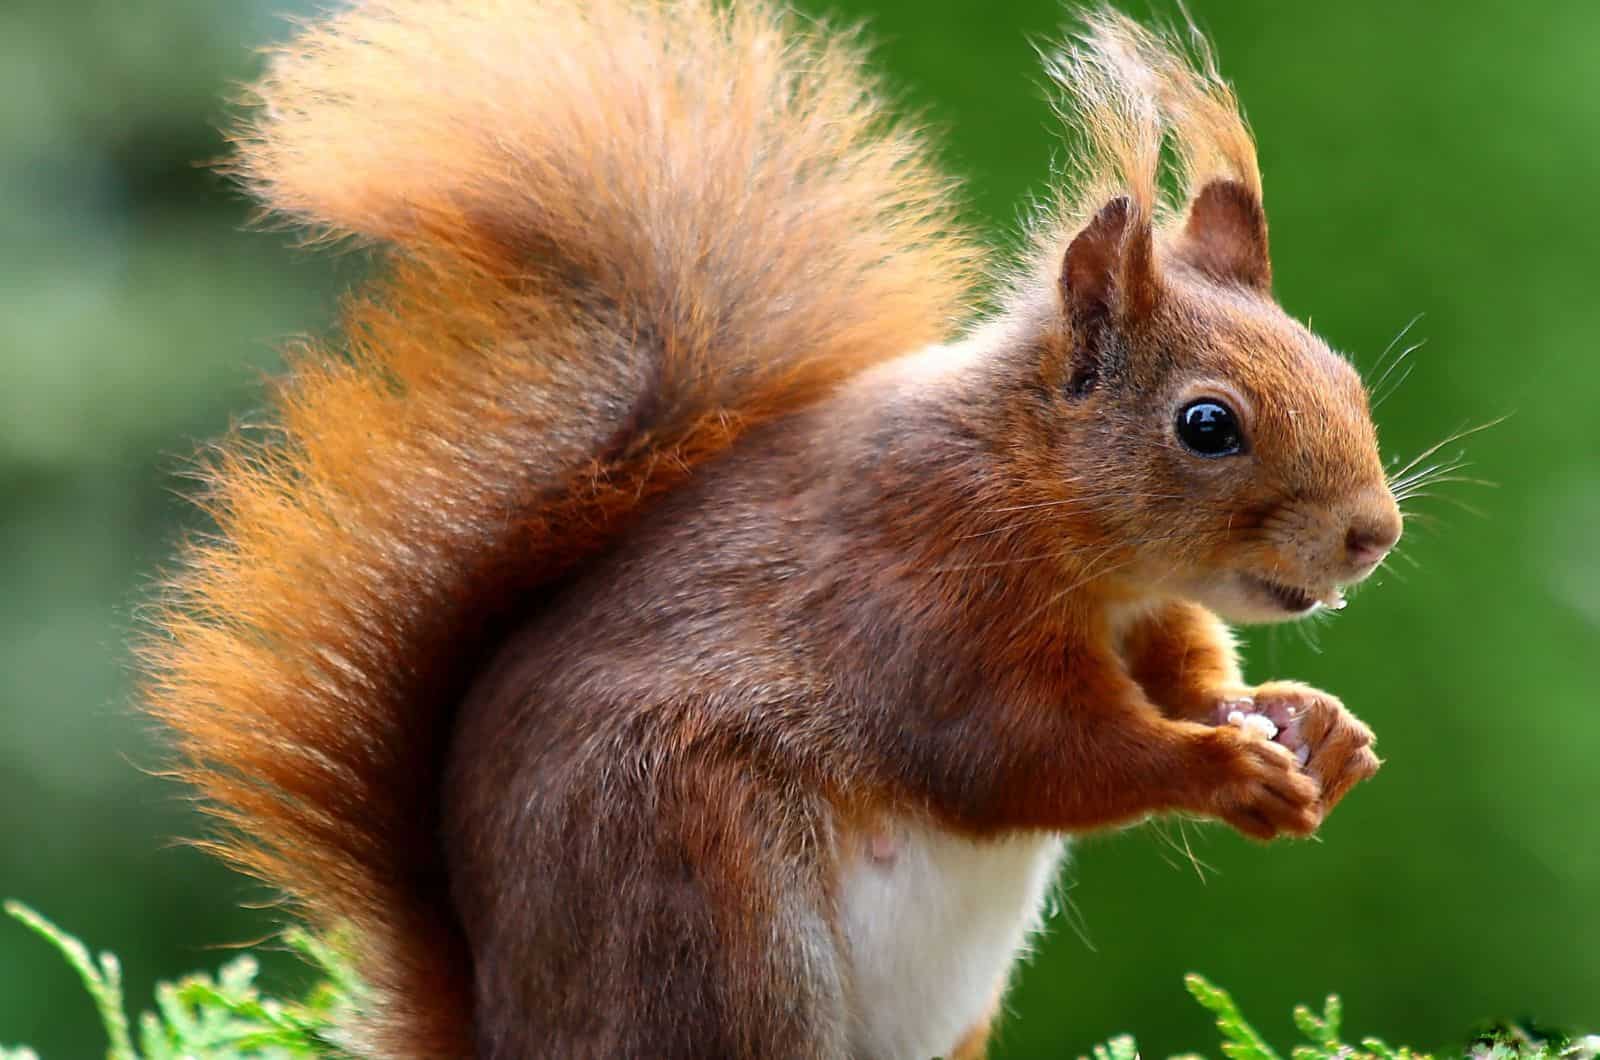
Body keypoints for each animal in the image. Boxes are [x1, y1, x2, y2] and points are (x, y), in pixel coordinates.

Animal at [147, 4, 1401, 1056]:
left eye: (1340, 372)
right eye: (1206, 424)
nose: (1373, 534)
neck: (1041, 499)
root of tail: (509, 1027)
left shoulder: (1144, 614)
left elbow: (1187, 673)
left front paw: (1310, 724)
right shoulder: (924, 597)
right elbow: (1023, 753)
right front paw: (1217, 765)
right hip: (713, 909)